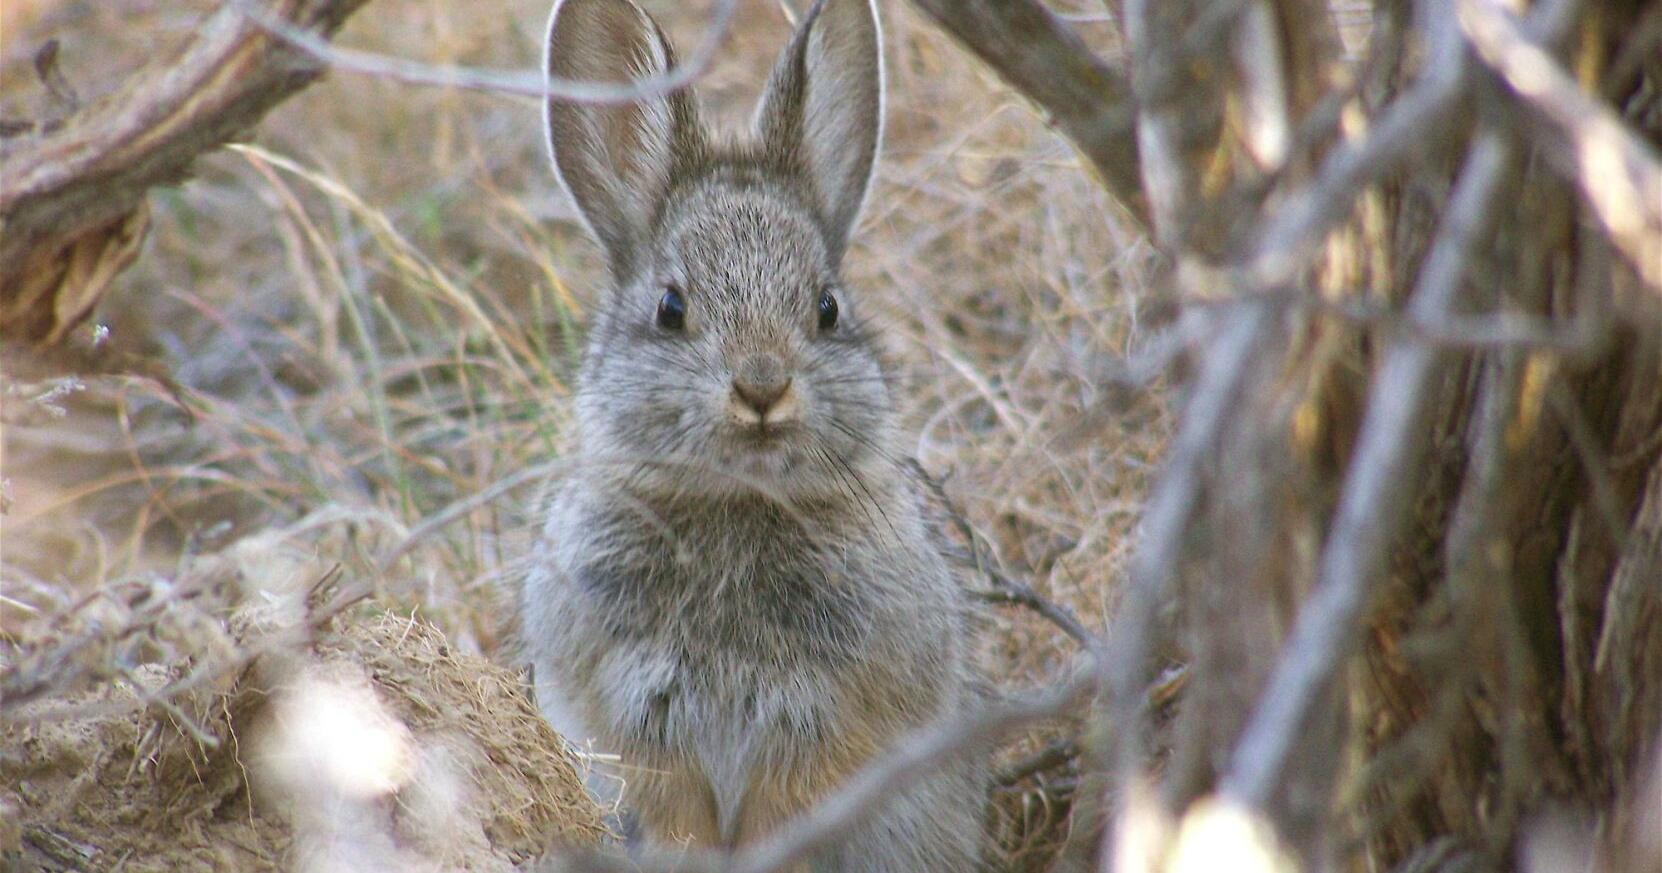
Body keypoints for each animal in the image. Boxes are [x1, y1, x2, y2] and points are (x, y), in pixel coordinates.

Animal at [520, 0, 988, 869]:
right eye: (671, 307)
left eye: (827, 308)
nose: (763, 387)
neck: (738, 499)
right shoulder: (629, 711)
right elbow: (673, 806)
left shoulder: (833, 714)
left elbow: (795, 804)